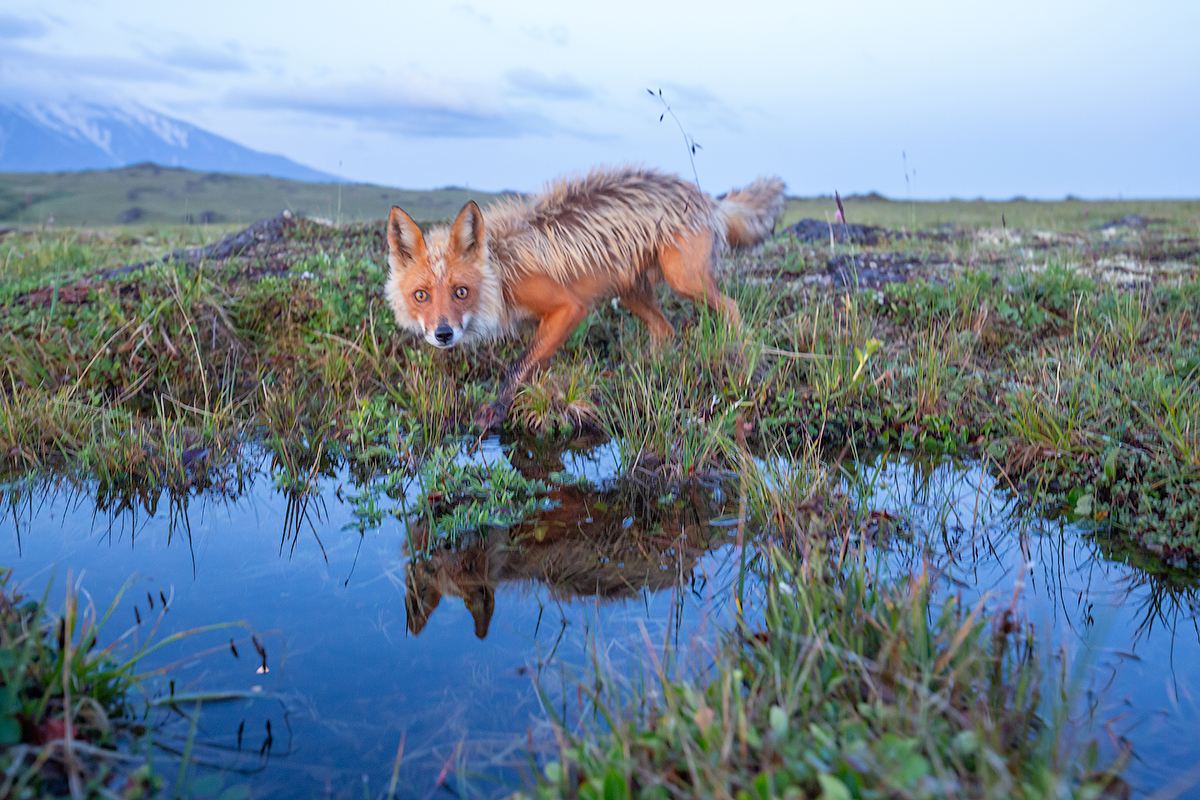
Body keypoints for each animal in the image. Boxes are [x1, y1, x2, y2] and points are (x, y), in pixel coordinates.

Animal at [384, 164, 787, 431]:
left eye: (461, 292)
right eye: (421, 295)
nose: (443, 334)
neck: (502, 270)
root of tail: (705, 197)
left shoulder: (569, 308)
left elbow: (518, 363)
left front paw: (497, 410)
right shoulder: (549, 322)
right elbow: (533, 363)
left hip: (684, 280)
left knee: (729, 307)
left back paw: (741, 353)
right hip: (628, 291)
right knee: (666, 330)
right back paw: (643, 371)